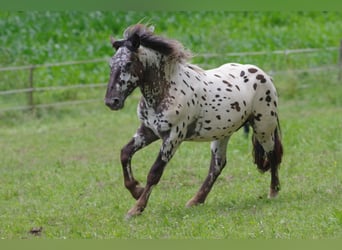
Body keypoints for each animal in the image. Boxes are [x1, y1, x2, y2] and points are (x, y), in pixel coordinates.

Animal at [104, 24, 284, 218]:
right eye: (111, 64)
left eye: (128, 63)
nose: (112, 101)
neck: (167, 91)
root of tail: (264, 75)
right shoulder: (148, 130)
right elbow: (124, 153)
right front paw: (136, 189)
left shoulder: (173, 136)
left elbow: (154, 172)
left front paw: (136, 208)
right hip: (223, 133)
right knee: (217, 165)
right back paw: (195, 200)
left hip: (263, 127)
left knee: (272, 154)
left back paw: (273, 192)